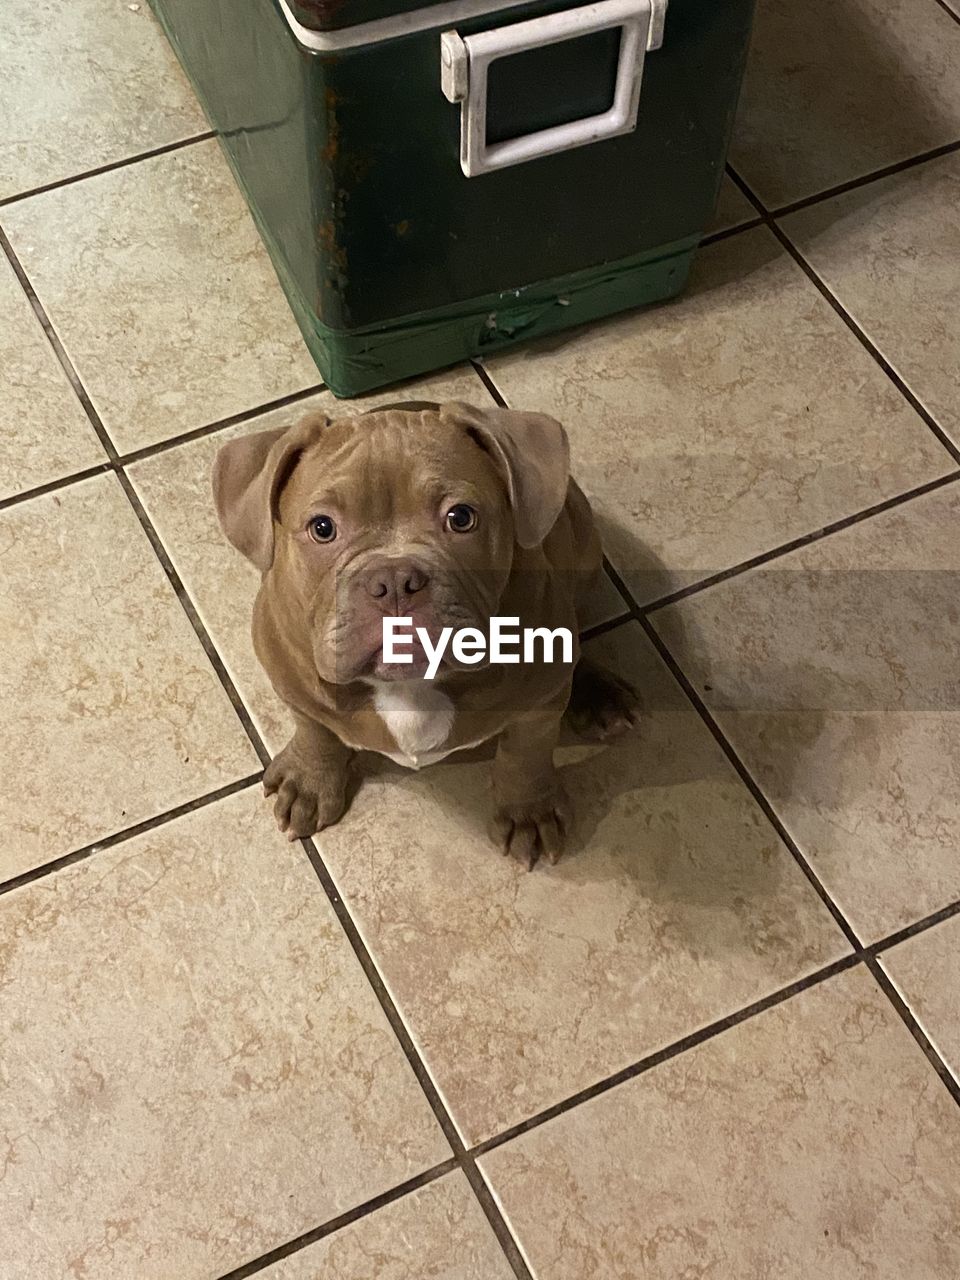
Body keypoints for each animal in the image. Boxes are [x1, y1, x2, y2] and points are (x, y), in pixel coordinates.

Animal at [213, 396, 642, 870]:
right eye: (322, 528)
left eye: (461, 518)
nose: (394, 580)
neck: (409, 686)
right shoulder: (290, 678)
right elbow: (314, 727)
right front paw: (309, 779)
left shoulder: (539, 705)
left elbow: (526, 753)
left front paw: (527, 812)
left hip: (581, 543)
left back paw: (599, 693)